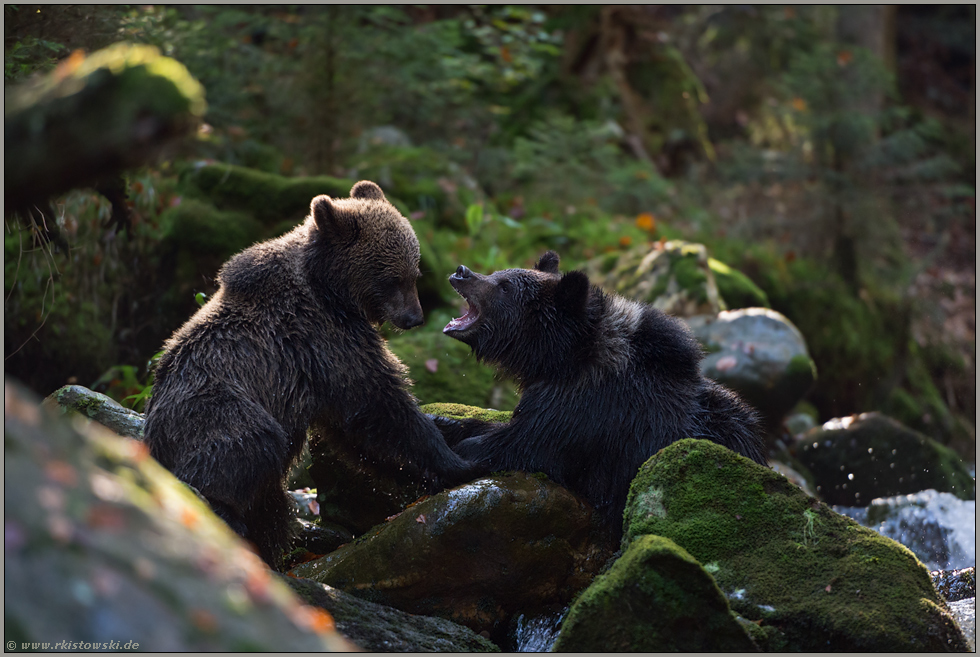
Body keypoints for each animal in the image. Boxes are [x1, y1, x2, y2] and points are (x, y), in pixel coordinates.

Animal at [142, 181, 482, 569]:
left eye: (415, 274)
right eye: (392, 279)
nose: (414, 318)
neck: (331, 288)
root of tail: (151, 442)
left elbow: (355, 428)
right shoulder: (322, 338)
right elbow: (379, 405)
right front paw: (458, 463)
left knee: (271, 506)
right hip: (213, 409)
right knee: (249, 447)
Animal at [433, 251, 766, 533]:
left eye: (504, 286)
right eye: (497, 273)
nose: (461, 272)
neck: (562, 361)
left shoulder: (584, 414)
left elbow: (519, 445)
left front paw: (461, 449)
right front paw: (444, 422)